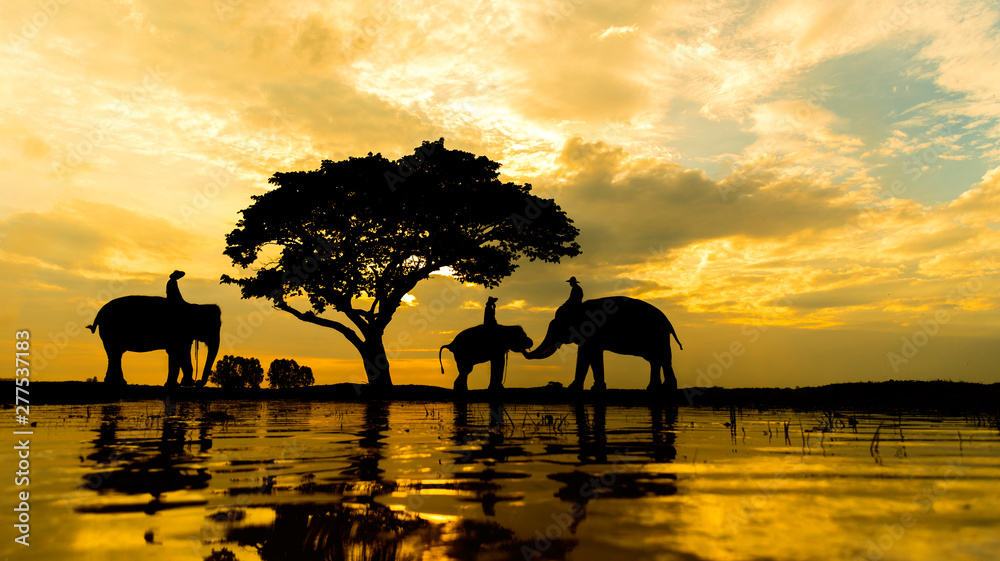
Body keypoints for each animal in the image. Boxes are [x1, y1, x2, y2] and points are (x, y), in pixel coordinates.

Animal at [86, 298, 221, 384]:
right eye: (213, 326)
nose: (198, 382)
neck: (195, 306)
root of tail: (99, 314)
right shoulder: (179, 332)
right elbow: (178, 352)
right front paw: (182, 383)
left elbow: (178, 353)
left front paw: (181, 383)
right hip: (110, 331)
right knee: (114, 354)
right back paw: (119, 382)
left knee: (115, 354)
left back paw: (115, 382)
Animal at [524, 298, 680, 390]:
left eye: (556, 327)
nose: (528, 345)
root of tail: (668, 322)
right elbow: (591, 355)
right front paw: (593, 388)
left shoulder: (591, 332)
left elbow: (588, 355)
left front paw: (574, 388)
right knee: (657, 360)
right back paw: (656, 388)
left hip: (658, 336)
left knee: (662, 358)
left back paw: (665, 388)